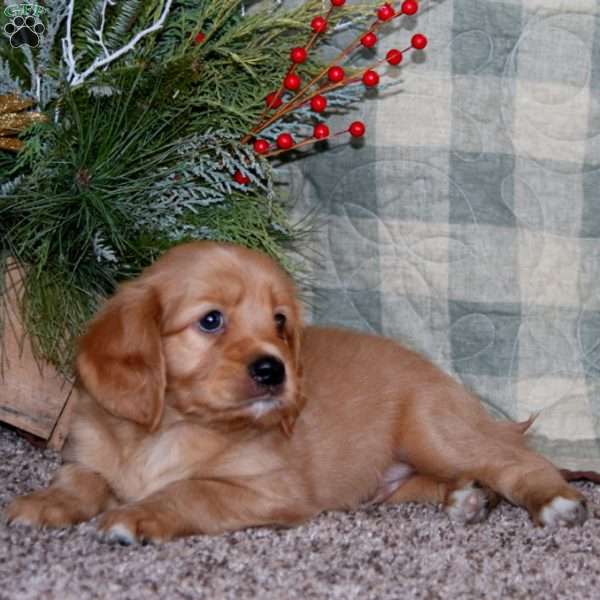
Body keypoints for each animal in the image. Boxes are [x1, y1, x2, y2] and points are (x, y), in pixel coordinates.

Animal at [4, 241, 584, 540]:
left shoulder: (270, 489)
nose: (273, 370)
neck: (170, 427)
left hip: (433, 432)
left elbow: (193, 490)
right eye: (211, 320)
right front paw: (42, 504)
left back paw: (553, 500)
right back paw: (466, 498)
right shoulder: (88, 456)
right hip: (397, 474)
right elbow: (78, 483)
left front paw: (136, 515)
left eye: (280, 322)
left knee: (514, 462)